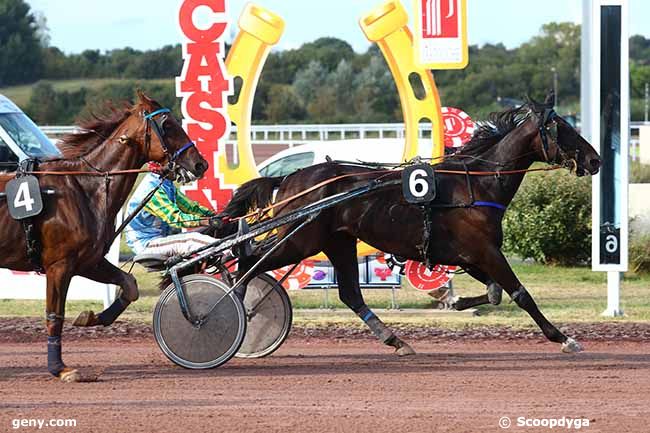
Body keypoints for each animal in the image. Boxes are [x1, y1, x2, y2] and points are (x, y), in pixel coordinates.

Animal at [0, 90, 208, 378]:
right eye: (167, 125)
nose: (200, 164)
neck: (85, 188)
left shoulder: (88, 260)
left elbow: (130, 286)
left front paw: (93, 317)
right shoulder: (59, 265)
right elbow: (55, 316)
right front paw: (60, 368)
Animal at [221, 91, 596, 354]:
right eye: (564, 129)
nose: (596, 160)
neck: (476, 185)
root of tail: (289, 178)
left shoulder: (468, 255)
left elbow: (494, 293)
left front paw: (454, 301)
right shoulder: (486, 252)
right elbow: (520, 294)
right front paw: (564, 338)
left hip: (337, 241)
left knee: (349, 293)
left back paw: (396, 340)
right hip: (300, 240)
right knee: (249, 262)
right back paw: (230, 308)